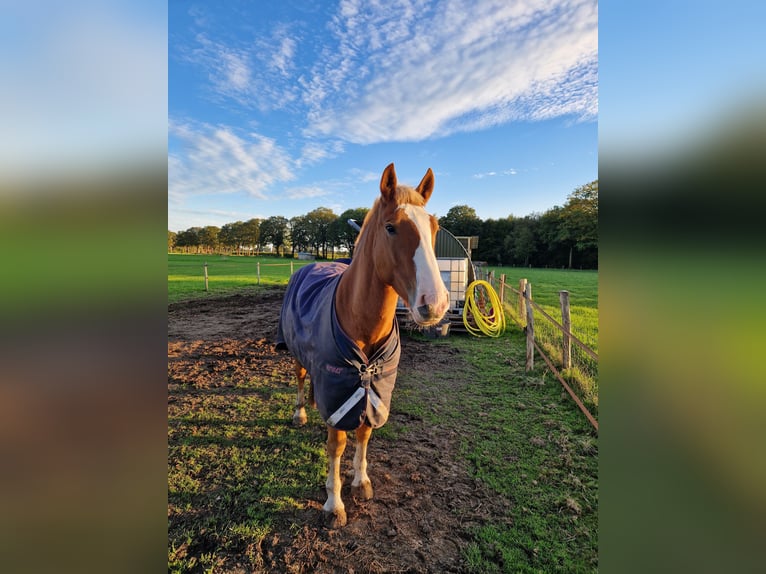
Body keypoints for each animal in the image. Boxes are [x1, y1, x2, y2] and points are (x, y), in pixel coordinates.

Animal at [276, 163, 450, 532]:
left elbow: (365, 433)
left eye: (434, 227)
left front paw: (361, 482)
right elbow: (337, 444)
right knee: (299, 378)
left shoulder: (374, 389)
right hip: (297, 355)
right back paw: (300, 413)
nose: (436, 303)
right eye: (391, 227)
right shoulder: (340, 389)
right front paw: (334, 504)